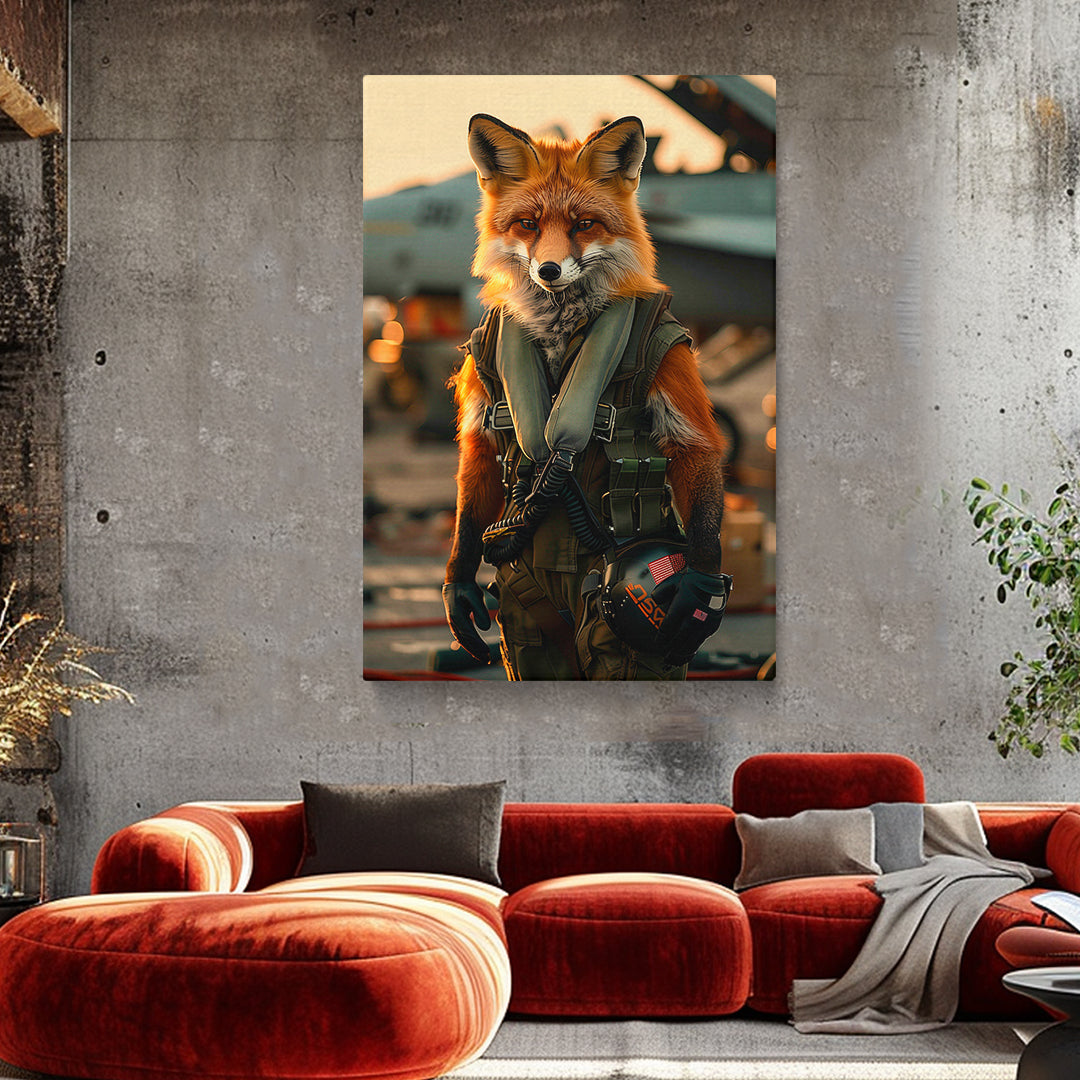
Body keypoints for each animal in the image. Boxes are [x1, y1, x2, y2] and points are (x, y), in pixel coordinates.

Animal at [443, 113, 729, 680]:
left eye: (583, 225)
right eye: (528, 224)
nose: (549, 270)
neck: (560, 330)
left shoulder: (669, 350)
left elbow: (696, 448)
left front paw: (700, 597)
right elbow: (479, 459)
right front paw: (459, 588)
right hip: (529, 632)